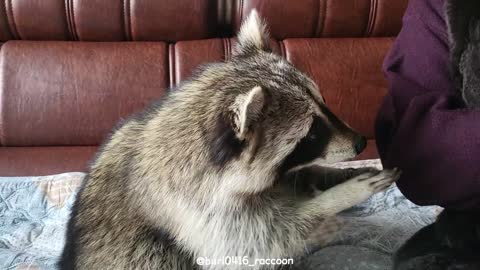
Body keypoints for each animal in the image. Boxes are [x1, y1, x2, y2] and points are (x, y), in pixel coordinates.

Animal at [60, 9, 400, 268]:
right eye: (312, 133)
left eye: (325, 103)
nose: (360, 143)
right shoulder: (196, 212)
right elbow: (262, 240)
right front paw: (335, 200)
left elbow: (296, 178)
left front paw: (334, 175)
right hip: (148, 254)